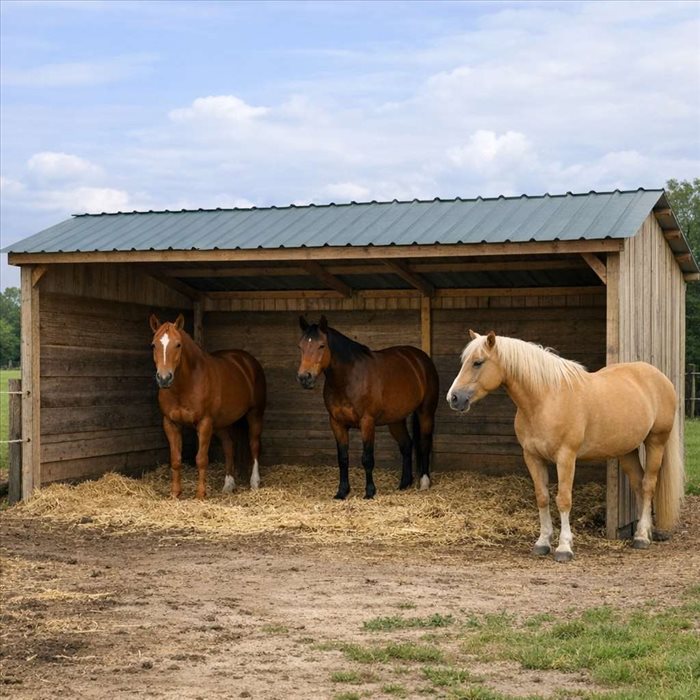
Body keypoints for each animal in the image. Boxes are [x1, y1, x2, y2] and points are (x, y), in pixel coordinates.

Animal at [149, 313, 266, 499]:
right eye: (154, 345)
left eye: (178, 344)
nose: (164, 378)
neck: (186, 384)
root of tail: (247, 361)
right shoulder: (171, 423)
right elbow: (175, 459)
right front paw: (175, 493)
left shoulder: (204, 423)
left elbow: (201, 459)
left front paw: (200, 495)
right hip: (222, 423)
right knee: (229, 446)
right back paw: (228, 484)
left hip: (255, 414)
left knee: (254, 444)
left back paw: (254, 482)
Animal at [297, 315, 440, 500]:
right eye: (300, 346)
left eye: (321, 345)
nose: (304, 378)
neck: (348, 379)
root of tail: (420, 358)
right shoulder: (336, 423)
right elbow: (343, 458)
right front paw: (342, 492)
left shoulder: (367, 422)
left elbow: (367, 458)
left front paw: (370, 492)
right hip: (396, 419)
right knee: (406, 445)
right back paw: (404, 483)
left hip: (426, 413)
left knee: (424, 444)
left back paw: (424, 482)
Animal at [447, 331, 684, 562]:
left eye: (477, 362)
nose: (454, 398)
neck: (545, 400)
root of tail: (660, 378)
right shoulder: (532, 457)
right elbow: (542, 497)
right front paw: (542, 542)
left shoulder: (566, 457)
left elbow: (563, 500)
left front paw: (564, 547)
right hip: (627, 450)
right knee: (638, 484)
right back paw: (644, 532)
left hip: (656, 441)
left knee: (648, 485)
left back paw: (642, 537)